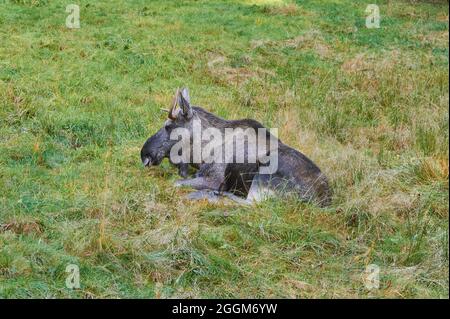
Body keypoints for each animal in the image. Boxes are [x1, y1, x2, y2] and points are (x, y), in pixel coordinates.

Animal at [141, 88, 330, 208]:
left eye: (168, 126)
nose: (144, 154)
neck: (202, 151)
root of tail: (324, 201)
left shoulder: (213, 178)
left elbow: (176, 184)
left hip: (265, 173)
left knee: (251, 205)